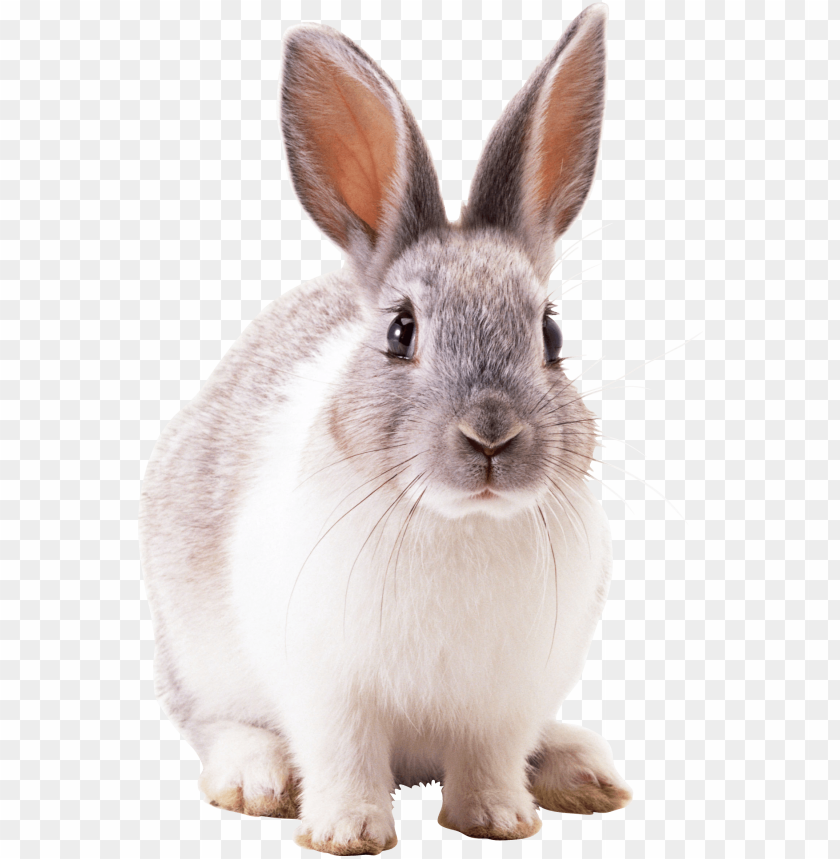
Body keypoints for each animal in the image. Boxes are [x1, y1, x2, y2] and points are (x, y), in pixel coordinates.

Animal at [139, 5, 632, 852]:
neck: (460, 521)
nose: (491, 437)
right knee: (215, 722)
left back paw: (581, 770)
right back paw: (256, 777)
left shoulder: (505, 699)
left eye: (551, 334)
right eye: (402, 331)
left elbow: (491, 758)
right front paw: (347, 831)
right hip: (199, 656)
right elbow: (343, 755)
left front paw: (499, 819)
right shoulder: (329, 689)